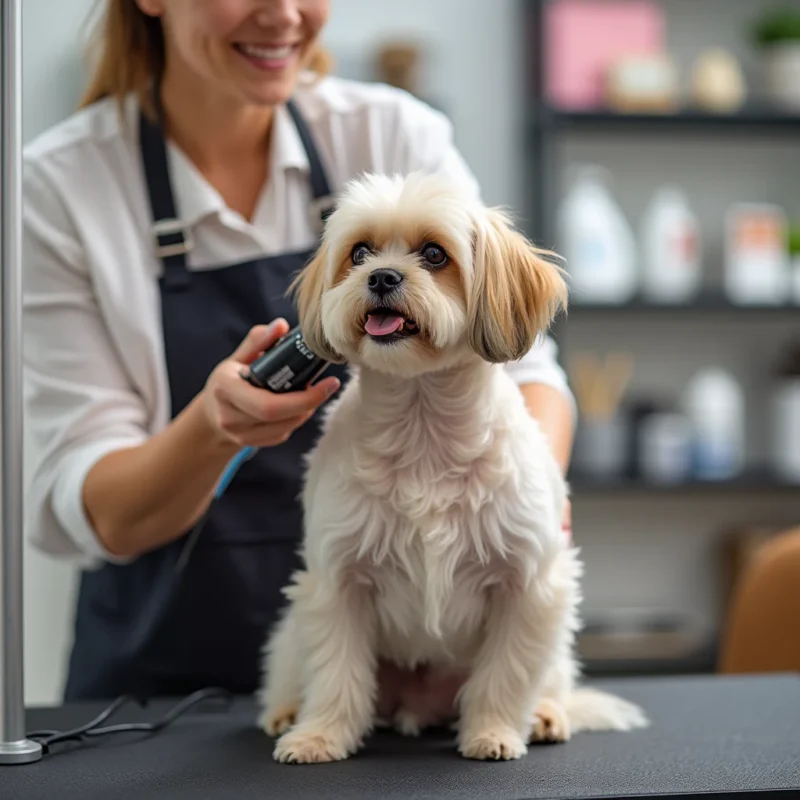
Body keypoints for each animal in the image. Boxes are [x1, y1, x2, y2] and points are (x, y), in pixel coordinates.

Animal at [260, 170, 648, 764]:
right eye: (359, 252)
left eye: (434, 254)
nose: (381, 277)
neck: (423, 429)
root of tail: (417, 705)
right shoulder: (335, 581)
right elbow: (334, 671)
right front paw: (320, 734)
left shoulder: (530, 586)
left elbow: (505, 674)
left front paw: (493, 732)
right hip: (291, 631)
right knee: (293, 669)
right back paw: (285, 713)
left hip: (555, 644)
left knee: (547, 679)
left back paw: (544, 715)